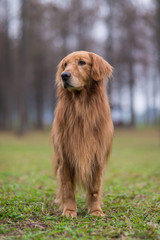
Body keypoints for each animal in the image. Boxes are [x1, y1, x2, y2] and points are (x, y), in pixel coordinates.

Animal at [51, 50, 114, 218]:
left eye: (82, 62)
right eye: (65, 64)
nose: (64, 75)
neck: (81, 107)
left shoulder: (97, 156)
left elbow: (94, 189)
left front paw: (96, 210)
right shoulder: (65, 157)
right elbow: (67, 188)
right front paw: (69, 210)